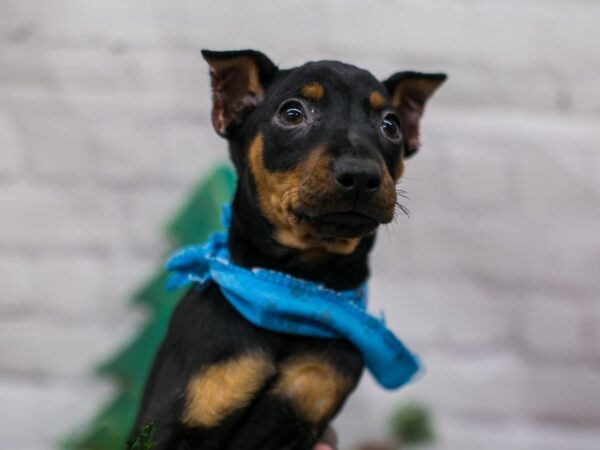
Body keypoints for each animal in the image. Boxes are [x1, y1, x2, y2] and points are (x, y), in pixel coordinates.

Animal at [131, 50, 446, 450]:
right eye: (292, 114)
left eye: (391, 125)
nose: (361, 175)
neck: (292, 286)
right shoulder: (168, 421)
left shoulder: (302, 414)